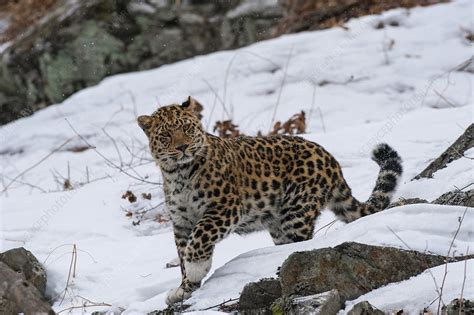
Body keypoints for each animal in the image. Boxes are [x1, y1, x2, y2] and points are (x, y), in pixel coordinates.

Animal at [135, 97, 402, 306]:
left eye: (188, 128)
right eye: (166, 135)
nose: (182, 147)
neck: (177, 174)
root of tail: (331, 160)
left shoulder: (225, 207)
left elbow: (199, 238)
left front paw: (195, 269)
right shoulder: (181, 222)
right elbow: (182, 252)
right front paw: (185, 288)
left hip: (296, 212)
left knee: (302, 243)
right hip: (279, 225)